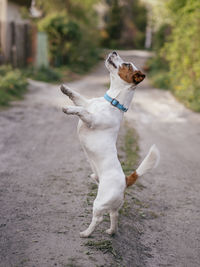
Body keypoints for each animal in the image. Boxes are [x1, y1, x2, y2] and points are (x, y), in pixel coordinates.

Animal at [59, 51, 159, 238]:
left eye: (127, 64)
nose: (114, 51)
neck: (112, 101)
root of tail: (125, 180)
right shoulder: (87, 103)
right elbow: (78, 98)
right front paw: (66, 89)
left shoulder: (92, 120)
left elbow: (81, 110)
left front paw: (68, 109)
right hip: (112, 206)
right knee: (114, 215)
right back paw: (111, 231)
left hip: (100, 202)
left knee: (98, 218)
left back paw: (86, 233)